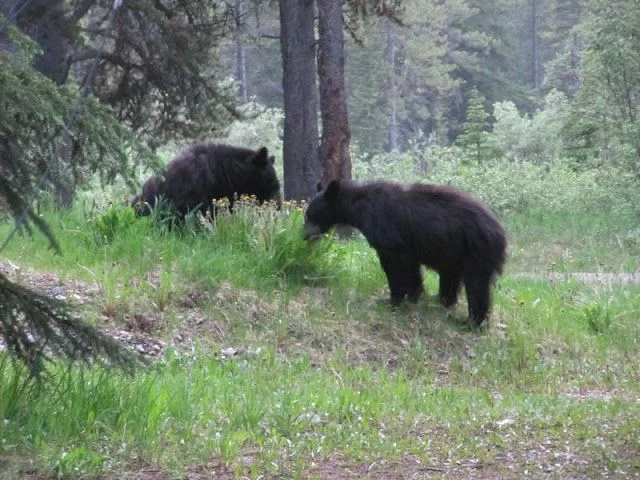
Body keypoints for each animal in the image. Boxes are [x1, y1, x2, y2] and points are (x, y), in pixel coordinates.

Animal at [303, 179, 507, 325]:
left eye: (310, 214)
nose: (304, 235)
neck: (360, 207)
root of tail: (501, 232)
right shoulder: (409, 247)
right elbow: (412, 270)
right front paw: (414, 296)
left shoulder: (388, 232)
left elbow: (394, 265)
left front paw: (392, 301)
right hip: (455, 252)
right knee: (451, 277)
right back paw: (441, 301)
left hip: (476, 250)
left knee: (477, 285)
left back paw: (469, 322)